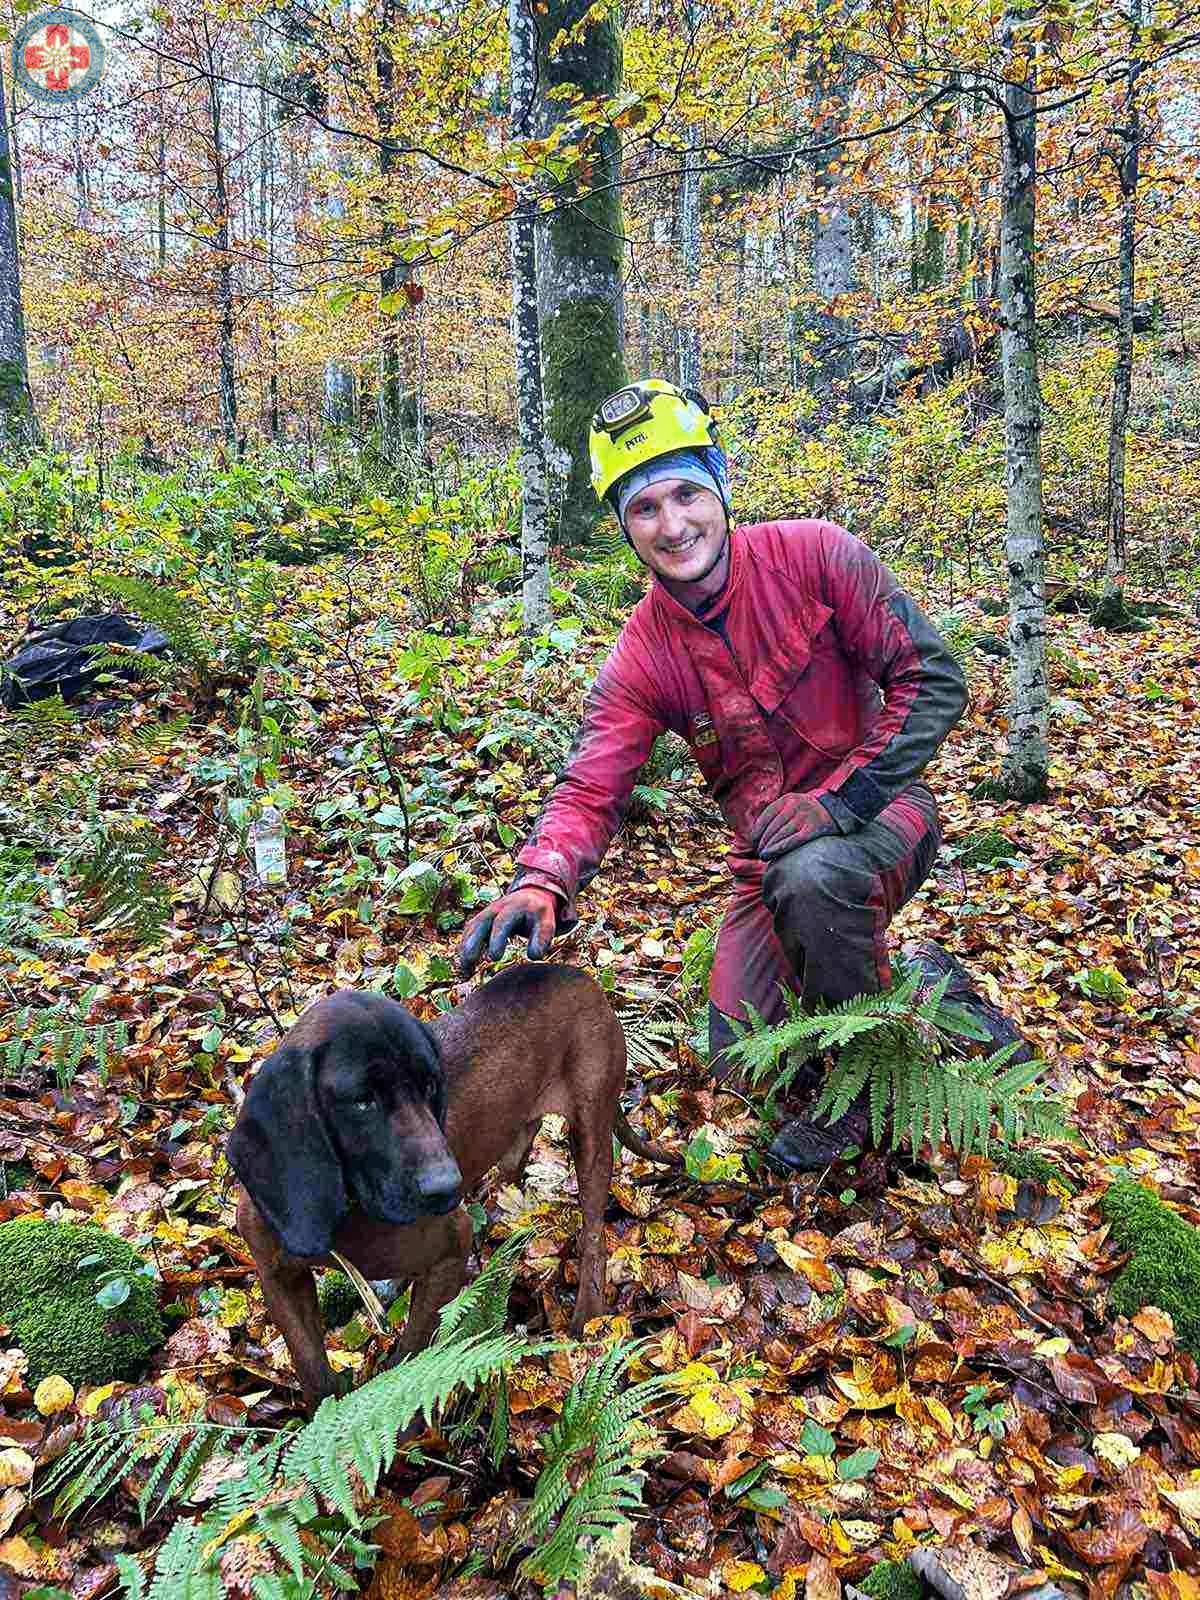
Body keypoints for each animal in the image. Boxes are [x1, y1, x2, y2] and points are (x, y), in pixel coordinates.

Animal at [227, 953, 668, 1408]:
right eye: (362, 1101)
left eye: (430, 1085)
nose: (447, 1187)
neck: (346, 1211)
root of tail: (577, 974)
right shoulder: (277, 1274)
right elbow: (312, 1369)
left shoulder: (449, 1252)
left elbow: (407, 1362)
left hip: (591, 1132)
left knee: (594, 1233)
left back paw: (587, 1314)